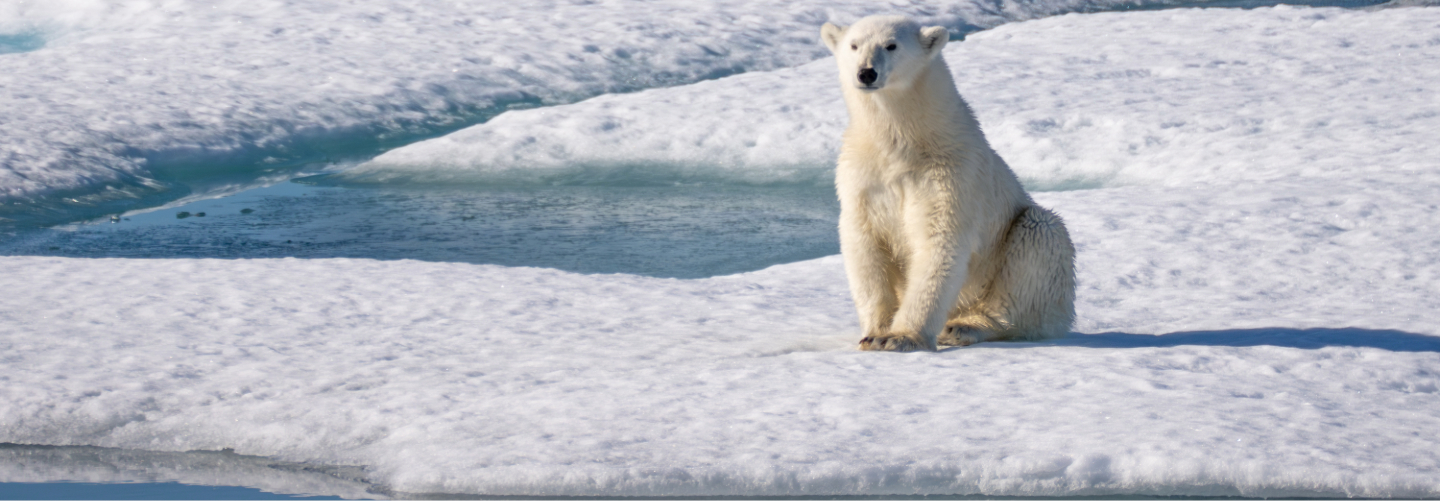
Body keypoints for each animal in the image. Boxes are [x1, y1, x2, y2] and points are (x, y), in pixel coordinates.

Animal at [820, 15, 1077, 351]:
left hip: (1023, 256)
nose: (866, 72)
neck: (906, 141)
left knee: (1039, 235)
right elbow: (864, 243)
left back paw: (965, 326)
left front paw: (901, 337)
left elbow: (939, 240)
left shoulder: (950, 173)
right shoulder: (862, 176)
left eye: (891, 45)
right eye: (854, 45)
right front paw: (875, 333)